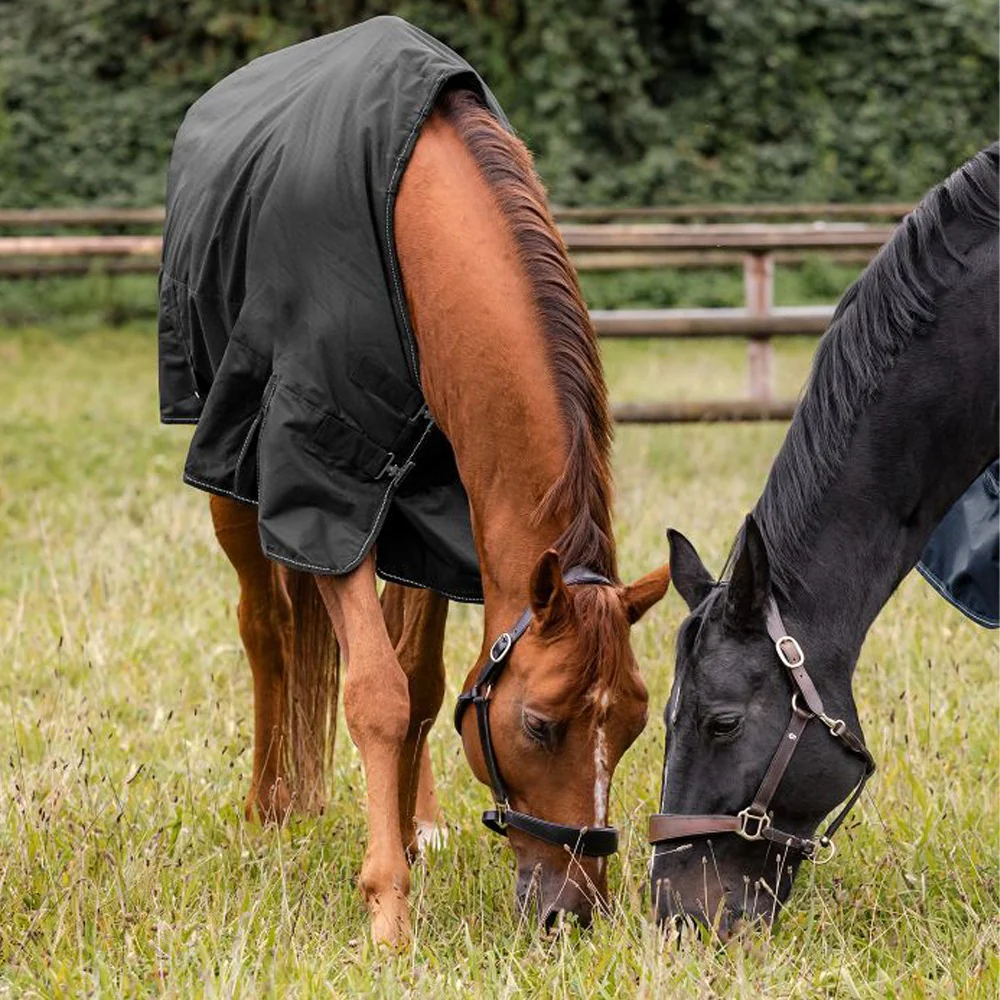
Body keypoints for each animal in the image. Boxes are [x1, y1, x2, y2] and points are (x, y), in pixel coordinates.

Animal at [158, 18, 670, 947]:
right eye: (541, 725)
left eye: (635, 721)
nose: (574, 912)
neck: (415, 221)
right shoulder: (326, 488)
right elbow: (375, 695)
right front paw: (388, 907)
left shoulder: (442, 514)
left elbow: (424, 689)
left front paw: (404, 836)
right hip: (227, 470)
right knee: (264, 626)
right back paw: (268, 807)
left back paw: (414, 818)